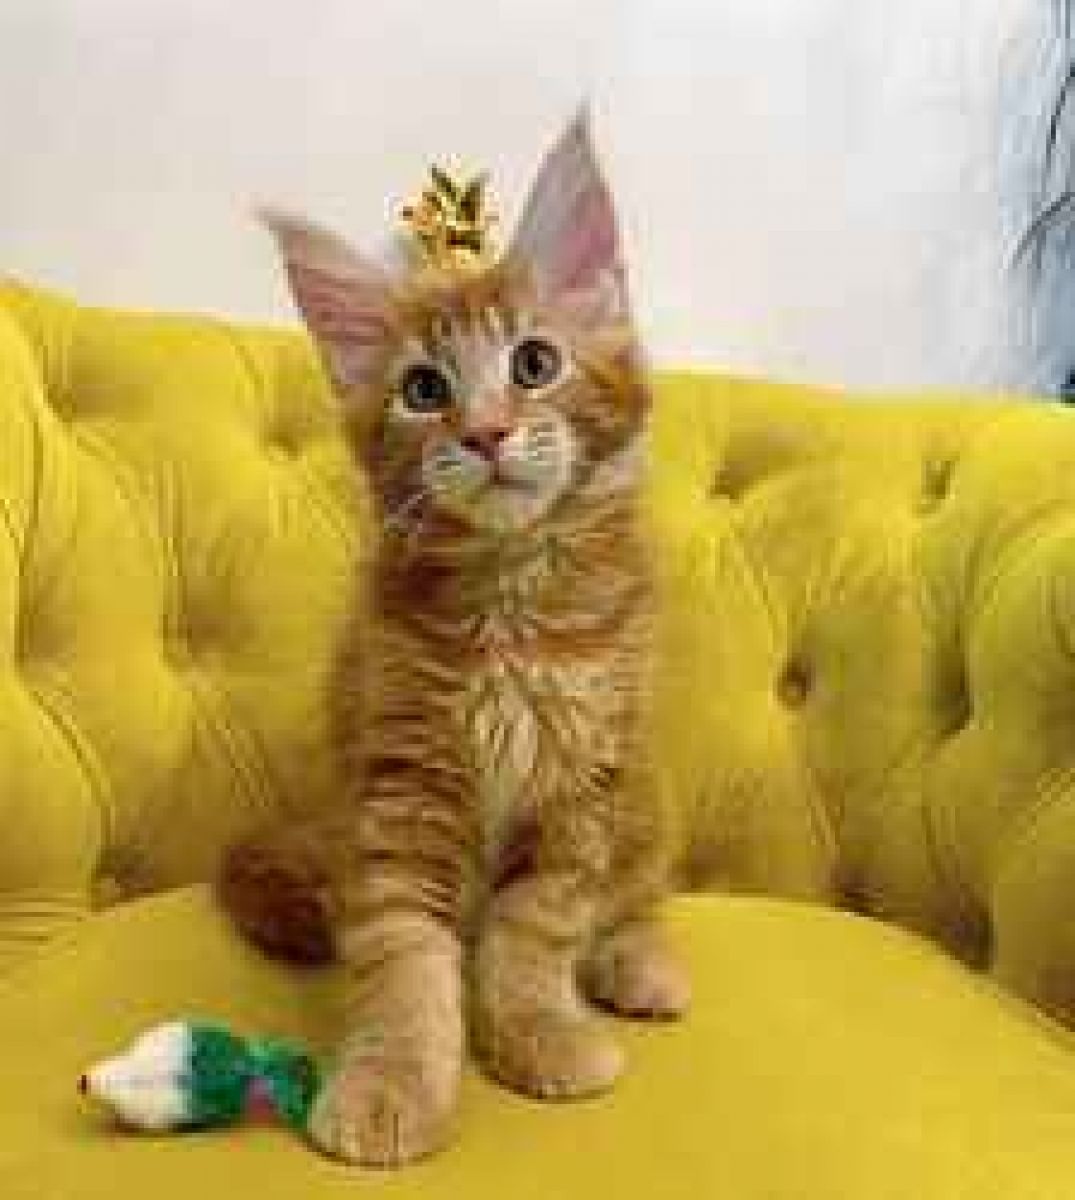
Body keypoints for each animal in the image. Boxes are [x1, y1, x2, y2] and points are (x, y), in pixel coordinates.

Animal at [218, 112, 689, 1168]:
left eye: (534, 364)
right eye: (424, 389)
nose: (483, 433)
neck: (508, 608)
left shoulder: (580, 785)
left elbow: (537, 931)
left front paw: (540, 1033)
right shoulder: (398, 785)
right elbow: (402, 958)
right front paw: (392, 1083)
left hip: (643, 801)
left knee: (635, 898)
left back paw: (636, 965)